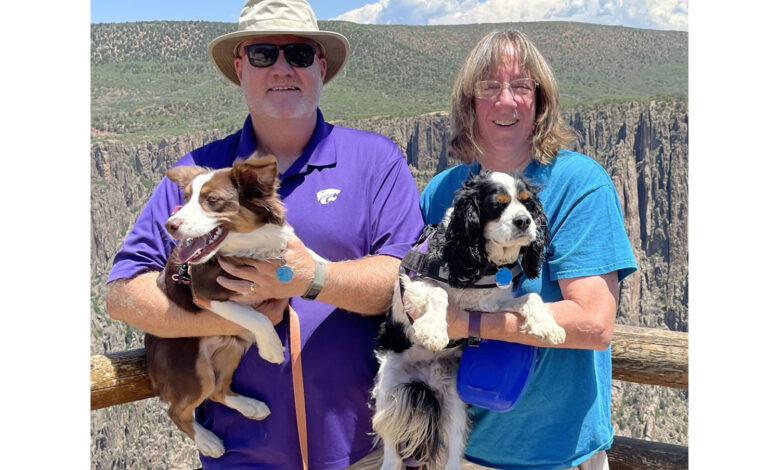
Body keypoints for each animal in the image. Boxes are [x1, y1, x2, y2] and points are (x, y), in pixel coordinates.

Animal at [145, 154, 290, 458]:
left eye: (211, 200)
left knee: (219, 390)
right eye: (186, 199)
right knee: (178, 410)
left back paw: (251, 406)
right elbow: (256, 317)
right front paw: (272, 348)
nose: (169, 225)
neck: (250, 247)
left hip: (232, 349)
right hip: (193, 371)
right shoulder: (204, 291)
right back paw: (208, 441)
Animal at [372, 171, 568, 468]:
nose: (524, 221)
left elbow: (532, 297)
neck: (481, 261)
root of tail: (426, 378)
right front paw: (433, 331)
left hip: (455, 406)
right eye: (497, 204)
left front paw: (548, 326)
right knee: (392, 455)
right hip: (390, 395)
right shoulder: (413, 285)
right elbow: (439, 293)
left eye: (527, 203)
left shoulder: (492, 306)